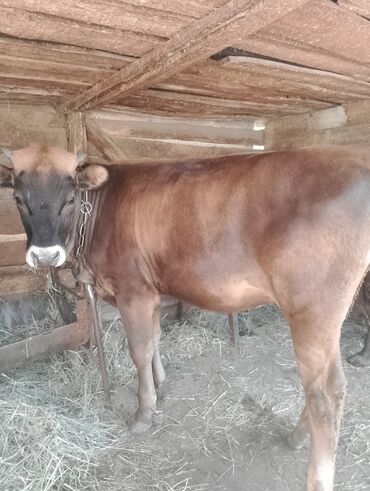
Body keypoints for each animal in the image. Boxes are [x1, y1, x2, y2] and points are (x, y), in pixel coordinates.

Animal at [0, 143, 370, 491]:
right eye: (18, 198)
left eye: (70, 197)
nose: (45, 255)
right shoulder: (151, 291)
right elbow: (155, 339)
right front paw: (161, 385)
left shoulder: (133, 291)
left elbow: (139, 350)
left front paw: (144, 412)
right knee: (330, 385)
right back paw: (296, 437)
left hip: (311, 311)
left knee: (325, 394)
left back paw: (315, 473)